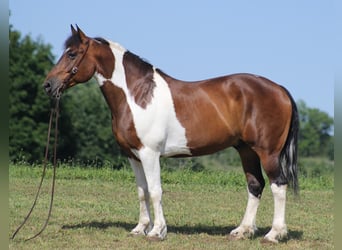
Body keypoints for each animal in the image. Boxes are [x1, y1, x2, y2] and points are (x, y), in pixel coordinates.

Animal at [42, 24, 298, 242]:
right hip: (246, 150)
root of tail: (280, 89)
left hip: (267, 152)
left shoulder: (150, 154)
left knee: (278, 186)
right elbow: (142, 191)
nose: (48, 85)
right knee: (255, 185)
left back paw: (274, 234)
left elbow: (155, 191)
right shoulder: (133, 156)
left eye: (72, 54)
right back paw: (242, 231)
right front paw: (140, 228)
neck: (137, 95)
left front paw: (157, 231)